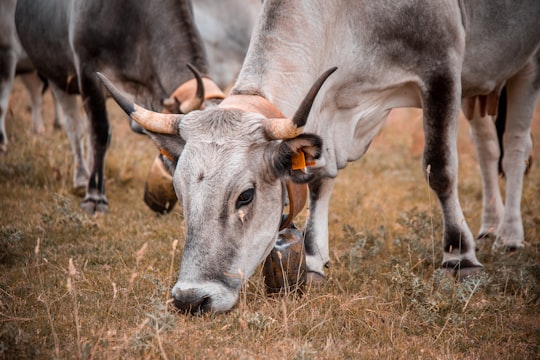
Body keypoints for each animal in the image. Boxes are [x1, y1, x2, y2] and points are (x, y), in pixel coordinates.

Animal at [15, 0, 224, 214]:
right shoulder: (89, 75)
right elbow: (100, 134)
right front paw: (95, 196)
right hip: (57, 79)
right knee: (75, 128)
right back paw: (82, 179)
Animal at [101, 0, 540, 314]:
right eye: (179, 192)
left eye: (246, 195)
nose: (191, 299)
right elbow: (317, 179)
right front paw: (313, 257)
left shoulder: (442, 68)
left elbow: (440, 167)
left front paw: (460, 257)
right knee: (487, 147)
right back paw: (489, 226)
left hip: (525, 66)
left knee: (515, 148)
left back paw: (509, 235)